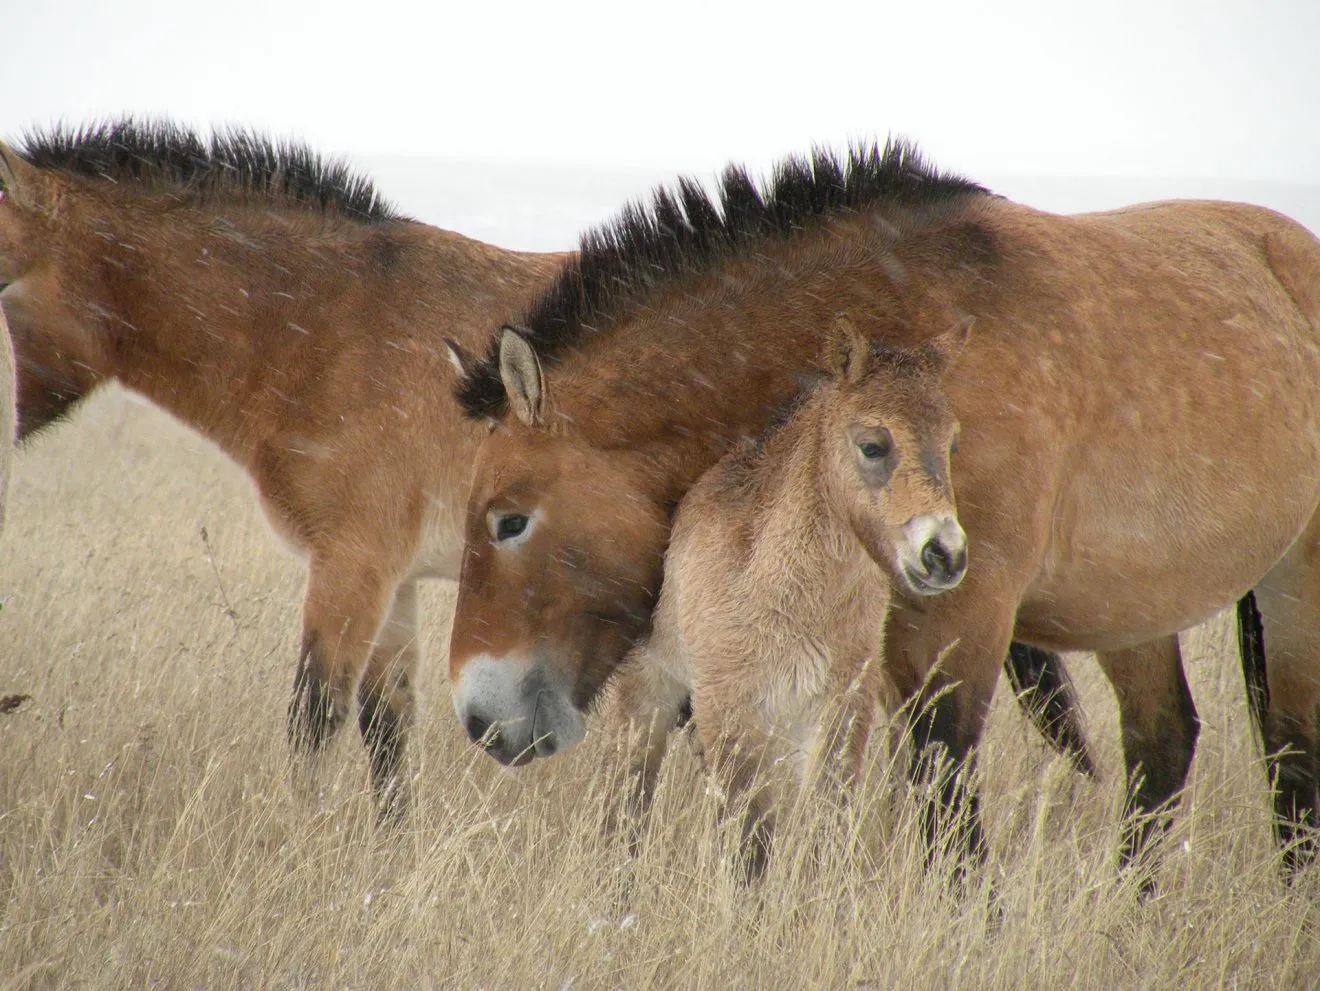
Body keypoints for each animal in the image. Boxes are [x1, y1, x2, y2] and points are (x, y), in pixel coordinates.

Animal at [607, 315, 971, 876]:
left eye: (951, 444)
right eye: (873, 445)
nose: (944, 554)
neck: (792, 599)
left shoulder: (840, 708)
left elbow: (826, 826)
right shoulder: (730, 711)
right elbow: (751, 844)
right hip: (646, 698)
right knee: (626, 807)